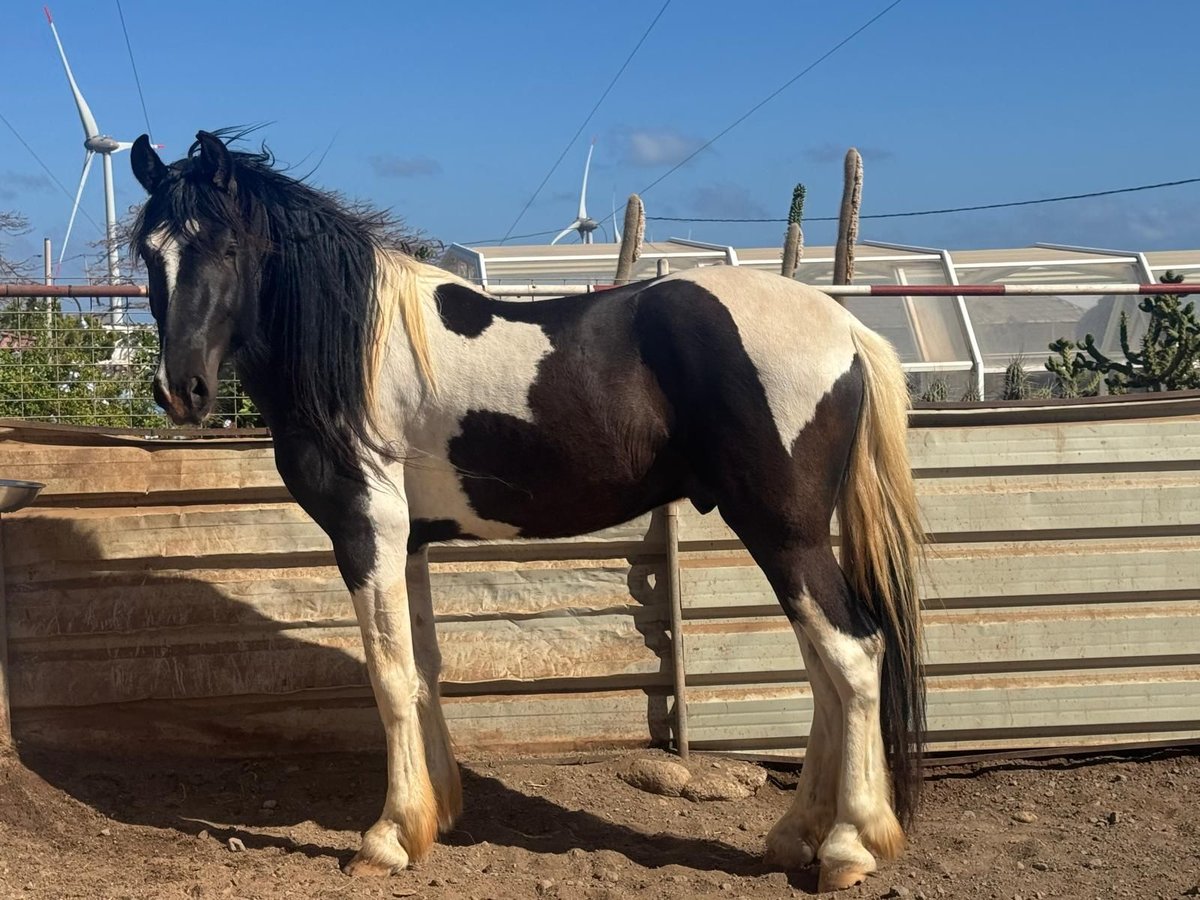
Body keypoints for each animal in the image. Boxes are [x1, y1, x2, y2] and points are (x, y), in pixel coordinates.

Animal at [131, 130, 921, 892]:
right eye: (149, 253)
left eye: (227, 247)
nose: (181, 390)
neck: (356, 349)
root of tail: (846, 330)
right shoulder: (409, 541)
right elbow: (424, 669)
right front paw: (436, 815)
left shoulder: (366, 529)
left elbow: (389, 675)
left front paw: (388, 838)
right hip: (789, 538)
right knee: (824, 668)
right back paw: (795, 836)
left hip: (784, 533)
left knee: (852, 655)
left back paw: (849, 848)